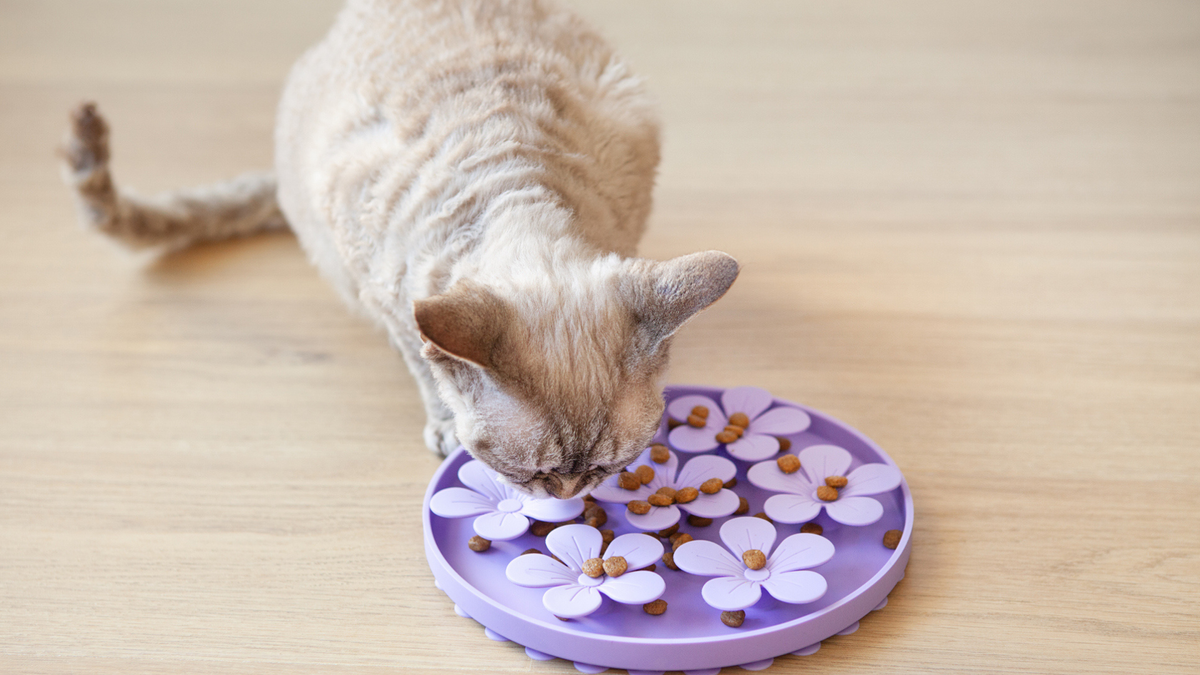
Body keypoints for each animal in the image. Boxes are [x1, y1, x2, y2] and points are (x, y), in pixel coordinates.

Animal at [60, 0, 734, 494]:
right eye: (529, 473)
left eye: (606, 468)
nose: (568, 495)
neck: (515, 181)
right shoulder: (384, 291)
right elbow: (421, 360)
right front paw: (445, 427)